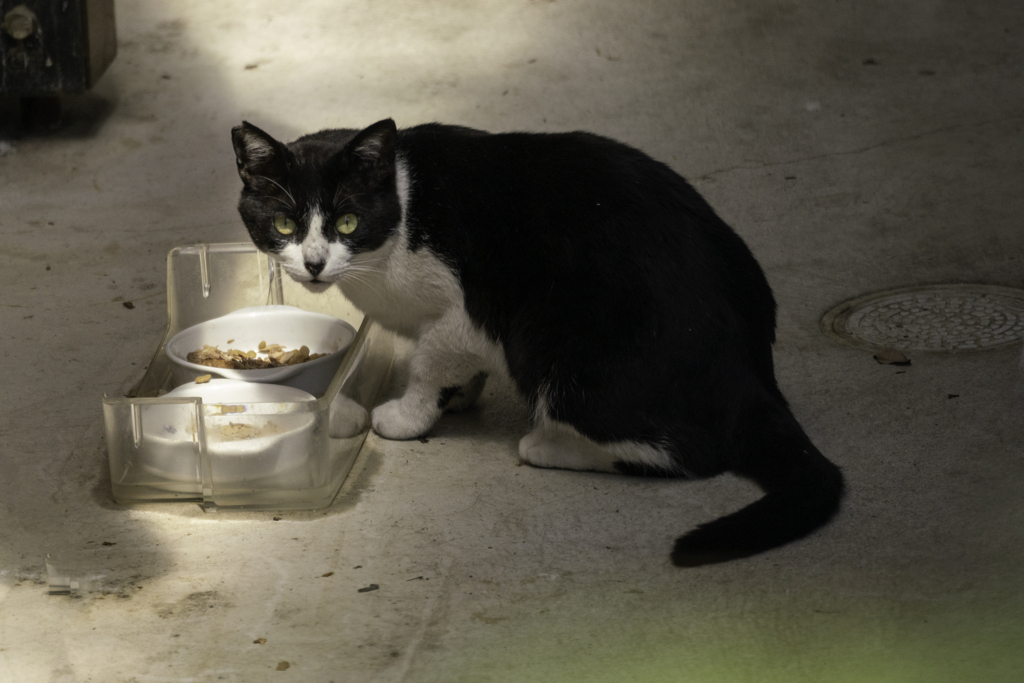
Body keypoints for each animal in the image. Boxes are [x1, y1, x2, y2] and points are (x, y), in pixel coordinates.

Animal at [234, 117, 847, 565]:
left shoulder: (468, 310)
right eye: (285, 226)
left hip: (551, 336)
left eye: (347, 222)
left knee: (689, 452)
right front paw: (460, 396)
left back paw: (548, 445)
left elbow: (431, 358)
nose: (314, 265)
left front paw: (411, 415)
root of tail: (755, 377)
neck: (399, 221)